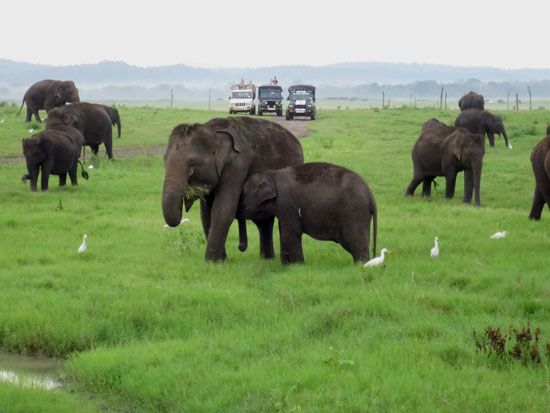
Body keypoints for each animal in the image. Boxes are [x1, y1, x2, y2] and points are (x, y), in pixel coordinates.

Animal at [162, 115, 304, 260]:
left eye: (192, 165)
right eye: (164, 160)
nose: (241, 247)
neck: (212, 130)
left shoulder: (237, 165)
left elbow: (223, 208)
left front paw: (211, 261)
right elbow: (206, 214)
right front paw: (222, 259)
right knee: (264, 221)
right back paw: (267, 259)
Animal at [242, 162, 380, 264]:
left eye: (242, 194)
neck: (271, 173)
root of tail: (370, 195)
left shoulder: (286, 202)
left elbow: (291, 231)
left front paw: (296, 266)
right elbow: (285, 229)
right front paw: (287, 265)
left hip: (354, 213)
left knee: (353, 242)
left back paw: (362, 265)